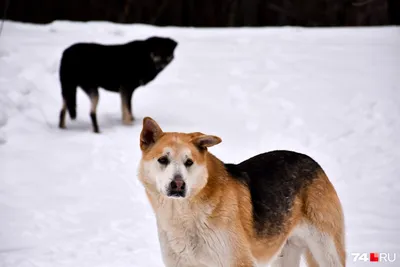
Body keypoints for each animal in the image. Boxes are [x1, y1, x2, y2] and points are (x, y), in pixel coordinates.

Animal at [138, 118, 344, 267]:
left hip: (327, 251)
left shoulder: (238, 261)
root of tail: (313, 162)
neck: (183, 214)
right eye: (163, 160)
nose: (178, 185)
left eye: (189, 162)